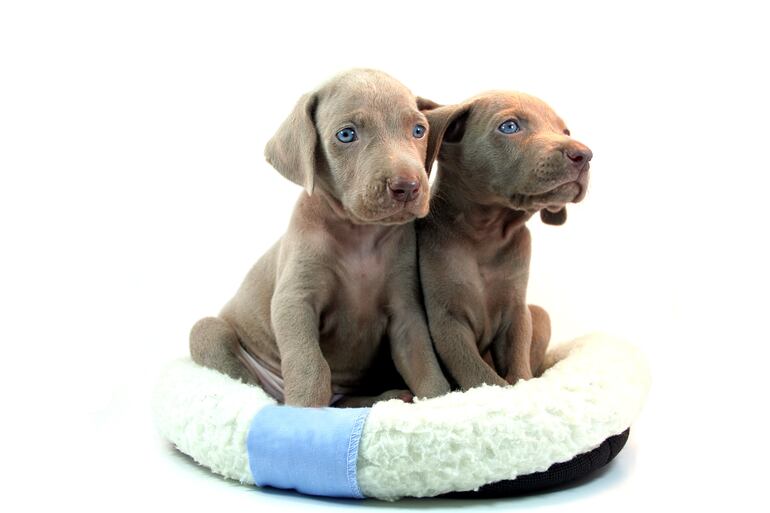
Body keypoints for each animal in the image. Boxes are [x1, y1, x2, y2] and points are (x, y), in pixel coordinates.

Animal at [190, 70, 450, 408]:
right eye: (346, 135)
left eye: (419, 130)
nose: (407, 187)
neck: (360, 235)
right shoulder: (295, 300)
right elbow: (309, 364)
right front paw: (302, 412)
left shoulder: (405, 309)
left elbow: (424, 363)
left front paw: (442, 402)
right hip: (210, 332)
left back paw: (391, 396)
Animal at [416, 92, 592, 388]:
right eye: (509, 127)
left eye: (564, 131)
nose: (584, 155)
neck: (486, 234)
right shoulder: (448, 323)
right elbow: (483, 379)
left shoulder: (516, 313)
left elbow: (519, 370)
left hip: (540, 315)